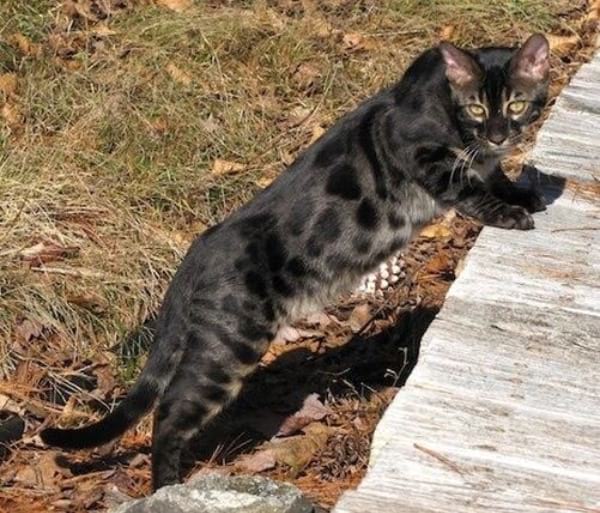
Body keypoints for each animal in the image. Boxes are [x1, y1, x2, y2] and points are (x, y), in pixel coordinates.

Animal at [41, 34, 548, 490]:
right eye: (477, 109)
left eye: (517, 104)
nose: (499, 134)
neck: (447, 106)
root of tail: (195, 253)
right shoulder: (419, 153)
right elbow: (471, 189)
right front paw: (510, 212)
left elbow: (496, 175)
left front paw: (522, 190)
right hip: (229, 345)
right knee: (169, 413)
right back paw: (166, 486)